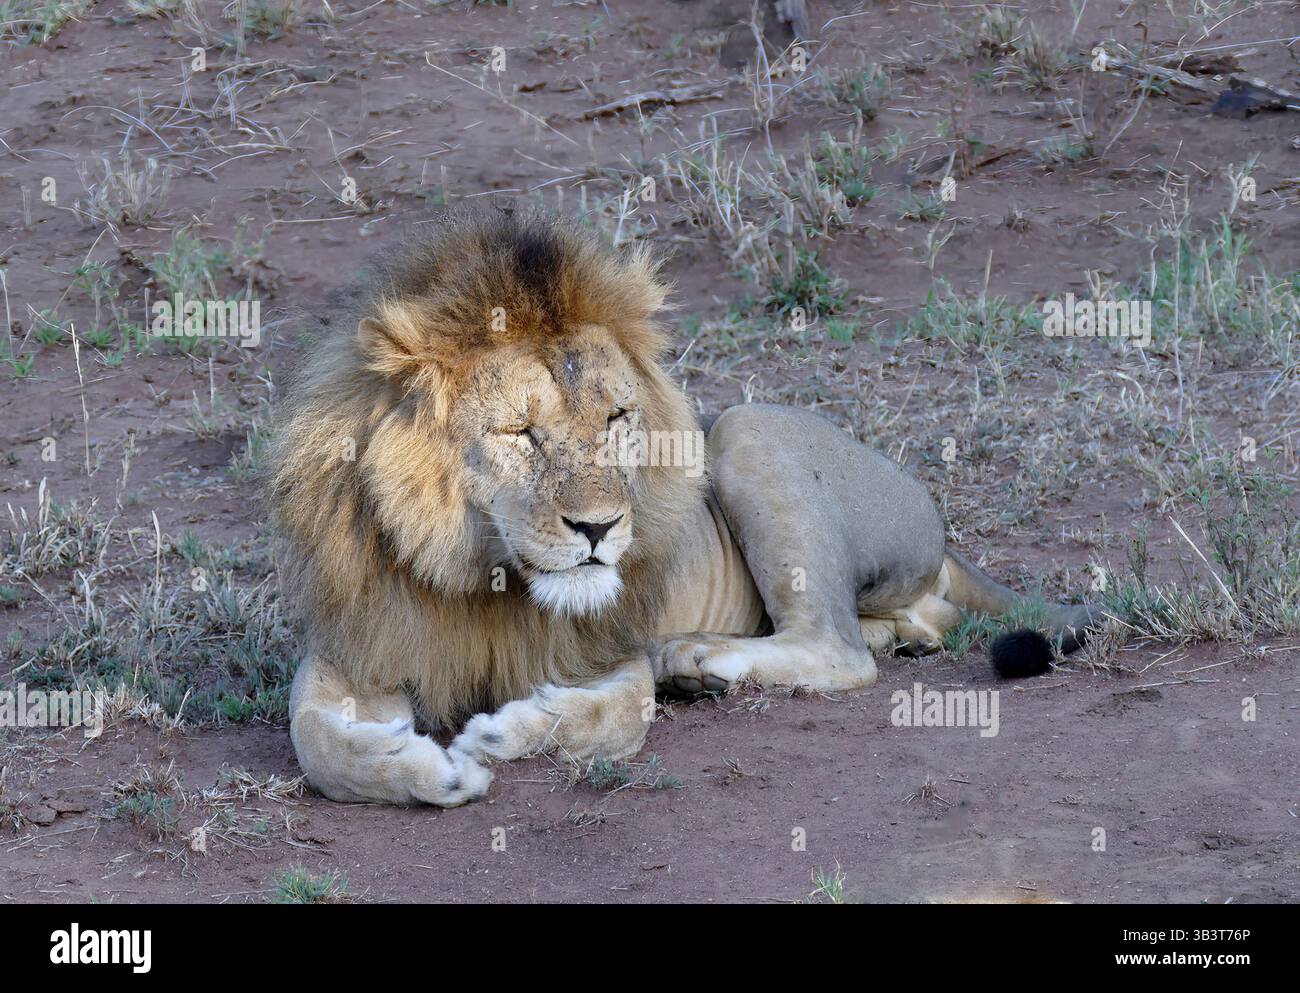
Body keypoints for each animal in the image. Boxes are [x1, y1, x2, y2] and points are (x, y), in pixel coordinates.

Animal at [269, 208, 1095, 806]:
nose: (599, 528)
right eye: (520, 432)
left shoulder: (606, 651)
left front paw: (499, 737)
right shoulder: (363, 638)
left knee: (838, 650)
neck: (483, 575)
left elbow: (609, 717)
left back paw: (695, 658)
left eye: (616, 417)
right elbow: (314, 740)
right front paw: (421, 769)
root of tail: (941, 531)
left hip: (742, 429)